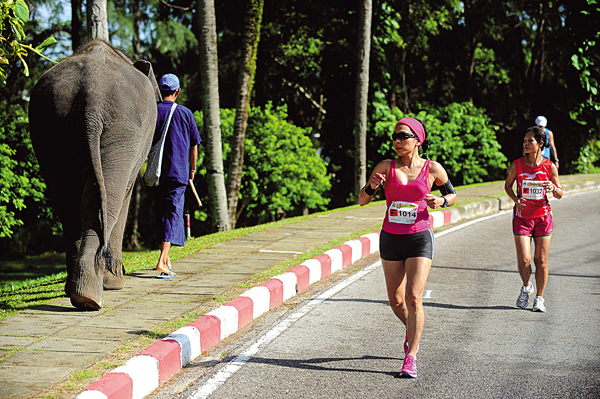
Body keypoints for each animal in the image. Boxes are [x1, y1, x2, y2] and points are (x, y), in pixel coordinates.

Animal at [29, 39, 162, 310]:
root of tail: (91, 97)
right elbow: (125, 194)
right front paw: (115, 284)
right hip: (122, 128)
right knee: (110, 196)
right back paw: (95, 294)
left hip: (51, 126)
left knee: (68, 201)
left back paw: (80, 292)